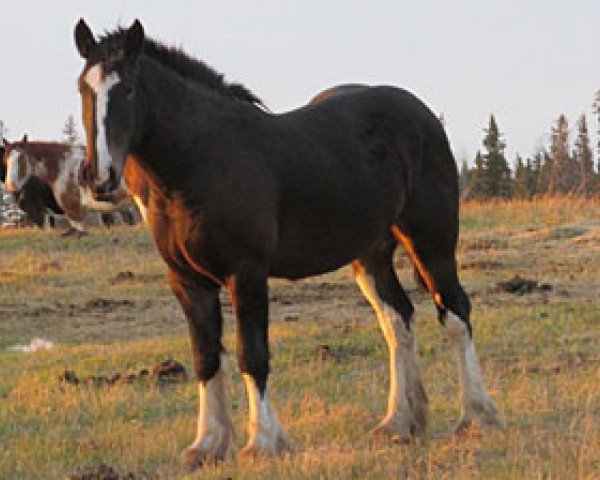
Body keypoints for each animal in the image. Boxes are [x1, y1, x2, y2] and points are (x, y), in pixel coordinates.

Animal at [74, 19, 496, 468]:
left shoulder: (246, 272)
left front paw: (263, 442)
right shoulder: (188, 282)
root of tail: (421, 112)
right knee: (398, 321)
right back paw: (399, 423)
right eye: (83, 88)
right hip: (370, 255)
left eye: (128, 89)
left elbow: (252, 354)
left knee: (454, 313)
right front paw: (207, 444)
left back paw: (476, 417)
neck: (201, 160)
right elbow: (206, 357)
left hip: (431, 241)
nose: (98, 178)